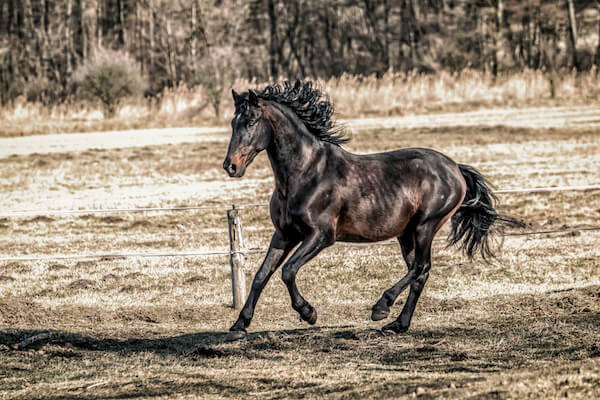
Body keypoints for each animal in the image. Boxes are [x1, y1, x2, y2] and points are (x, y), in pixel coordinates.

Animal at [220, 80, 520, 340]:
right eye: (233, 122)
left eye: (251, 121)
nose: (230, 166)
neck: (305, 172)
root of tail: (455, 168)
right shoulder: (284, 235)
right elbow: (261, 275)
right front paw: (239, 325)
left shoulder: (321, 236)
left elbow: (288, 271)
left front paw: (309, 313)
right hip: (406, 234)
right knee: (419, 272)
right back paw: (398, 324)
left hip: (426, 226)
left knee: (421, 267)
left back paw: (381, 307)